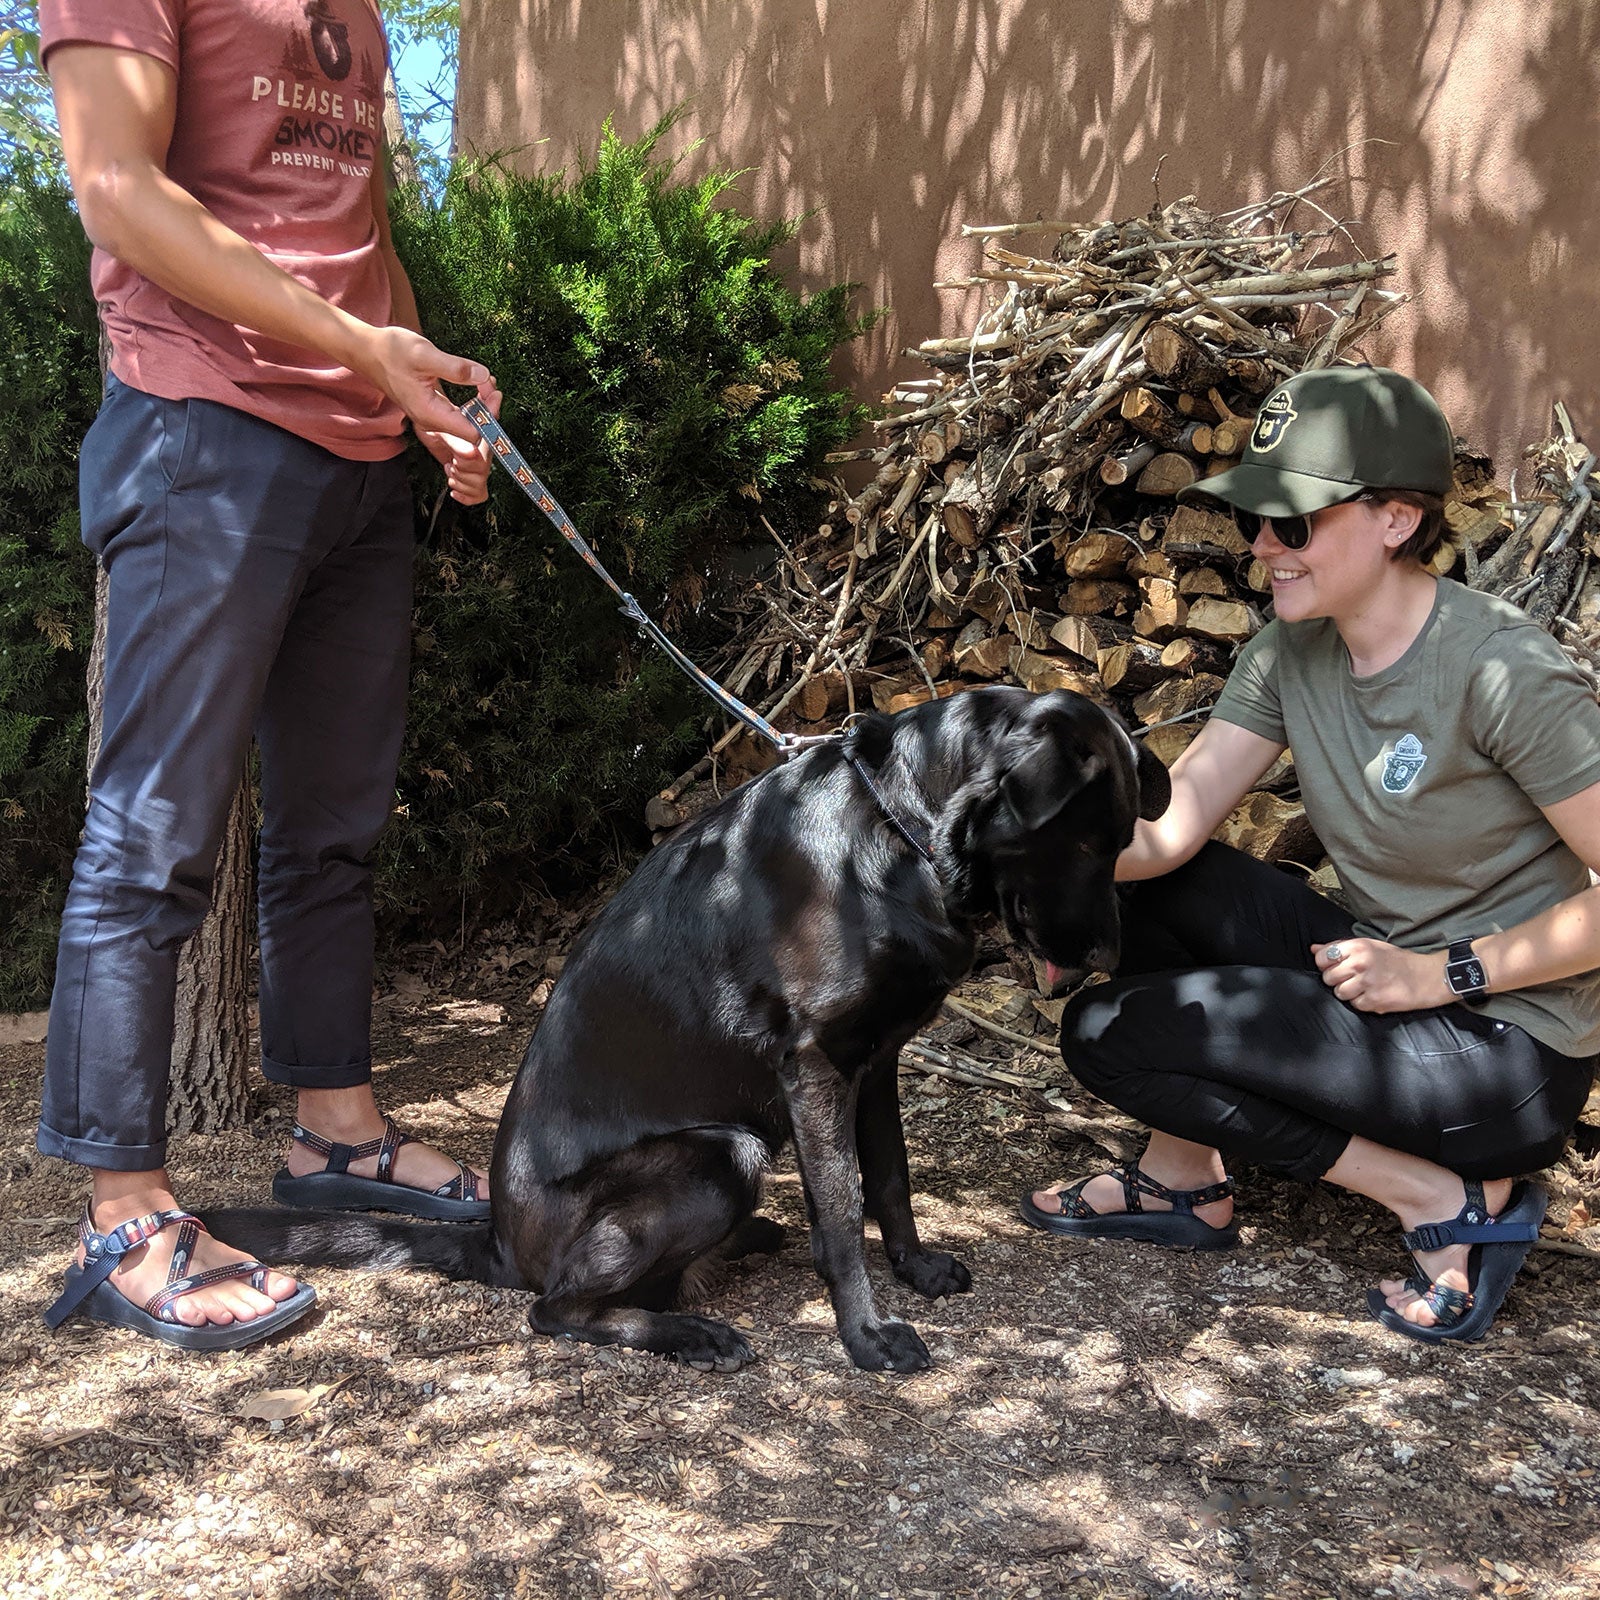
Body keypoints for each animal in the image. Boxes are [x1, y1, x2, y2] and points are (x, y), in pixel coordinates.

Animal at [209, 688, 1164, 1376]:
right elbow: (841, 1207)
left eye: (1123, 841)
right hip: (720, 1154)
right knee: (554, 1308)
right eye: (1088, 843)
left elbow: (890, 1177)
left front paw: (917, 1272)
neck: (898, 829)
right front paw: (866, 1334)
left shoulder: (878, 1059)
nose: (1112, 957)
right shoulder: (816, 1066)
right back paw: (691, 1333)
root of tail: (499, 1242)